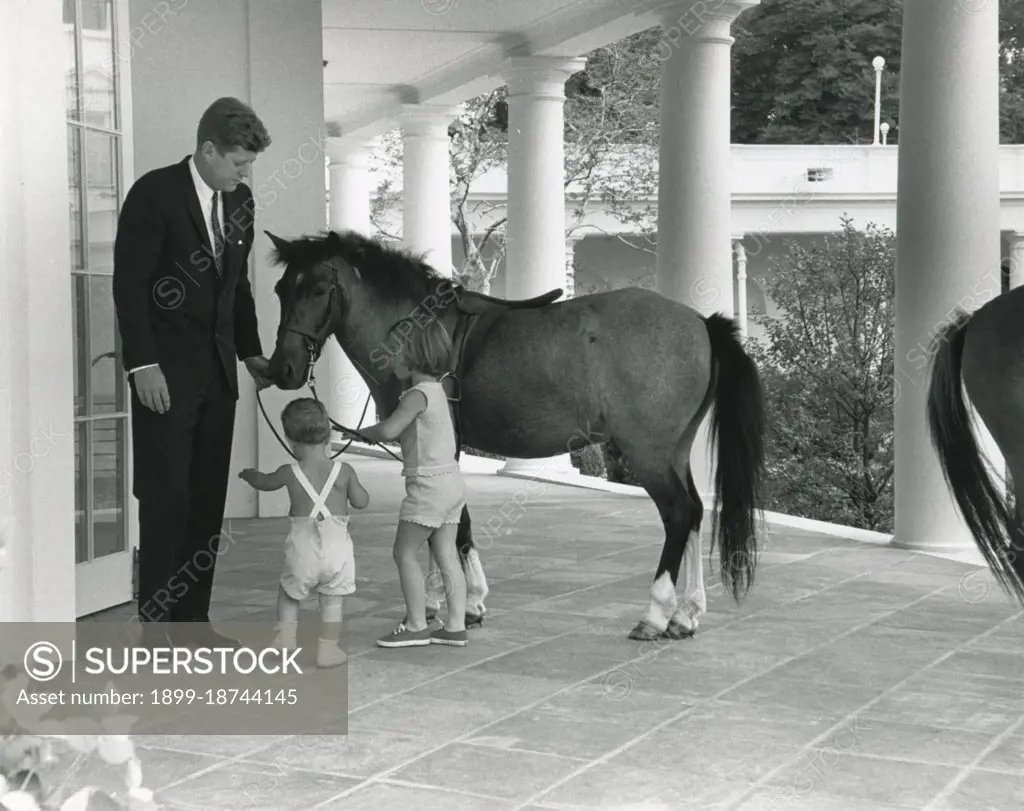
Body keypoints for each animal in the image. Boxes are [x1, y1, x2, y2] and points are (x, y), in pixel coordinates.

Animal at [260, 228, 765, 638]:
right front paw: (453, 599)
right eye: (281, 288)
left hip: (648, 452)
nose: (283, 368)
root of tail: (700, 323)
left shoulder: (431, 446)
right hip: (675, 450)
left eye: (319, 287)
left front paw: (455, 603)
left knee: (679, 513)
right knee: (696, 511)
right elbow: (446, 520)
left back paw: (656, 615)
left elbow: (447, 522)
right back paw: (686, 614)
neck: (419, 332)